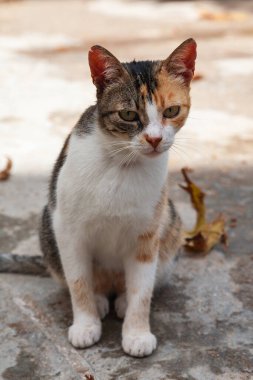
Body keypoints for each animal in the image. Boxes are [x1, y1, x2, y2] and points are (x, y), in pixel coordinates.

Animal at [39, 38, 198, 356]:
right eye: (128, 115)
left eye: (172, 111)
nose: (154, 139)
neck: (123, 162)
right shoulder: (67, 229)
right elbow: (78, 282)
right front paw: (85, 325)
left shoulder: (147, 233)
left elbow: (142, 291)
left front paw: (136, 333)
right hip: (47, 226)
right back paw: (101, 300)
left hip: (170, 224)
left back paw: (121, 300)